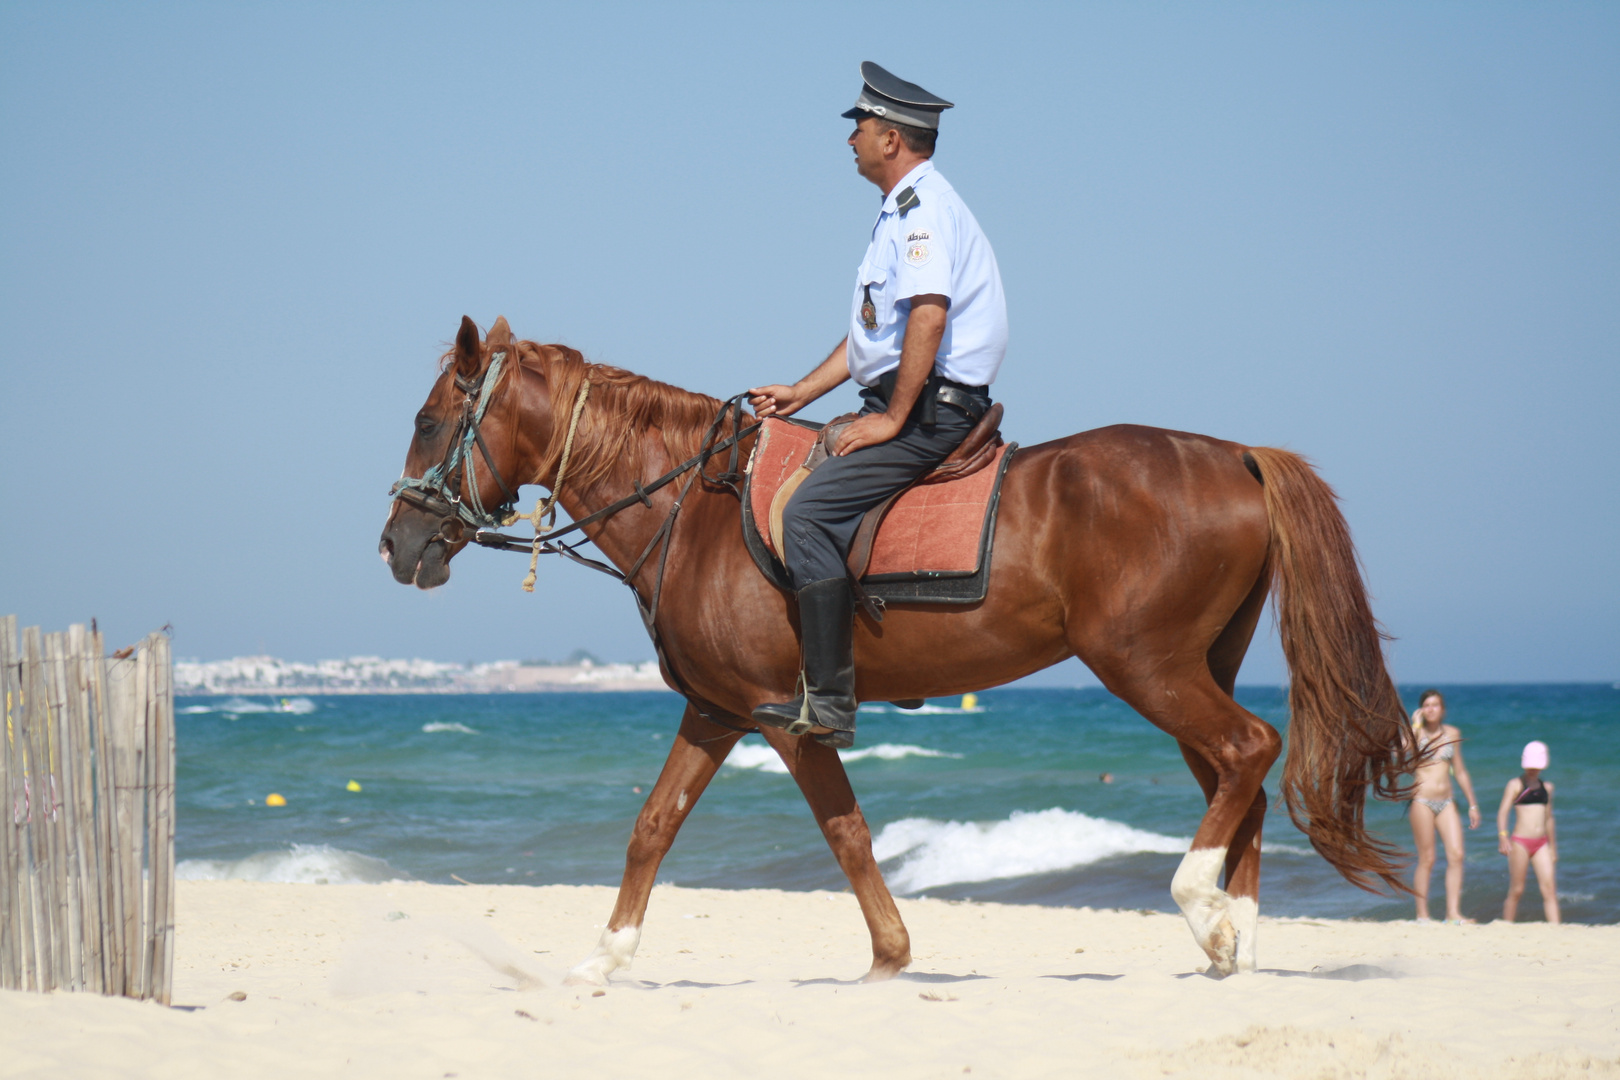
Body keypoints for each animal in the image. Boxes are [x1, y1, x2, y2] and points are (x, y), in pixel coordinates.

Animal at [375, 317, 1406, 984]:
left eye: (428, 422)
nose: (396, 544)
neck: (692, 505)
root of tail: (1236, 454)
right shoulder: (715, 710)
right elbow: (652, 825)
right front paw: (606, 956)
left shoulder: (784, 718)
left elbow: (847, 833)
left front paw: (890, 959)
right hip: (1191, 669)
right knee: (1240, 781)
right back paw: (1239, 942)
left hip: (1147, 668)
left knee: (1250, 752)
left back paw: (1203, 908)